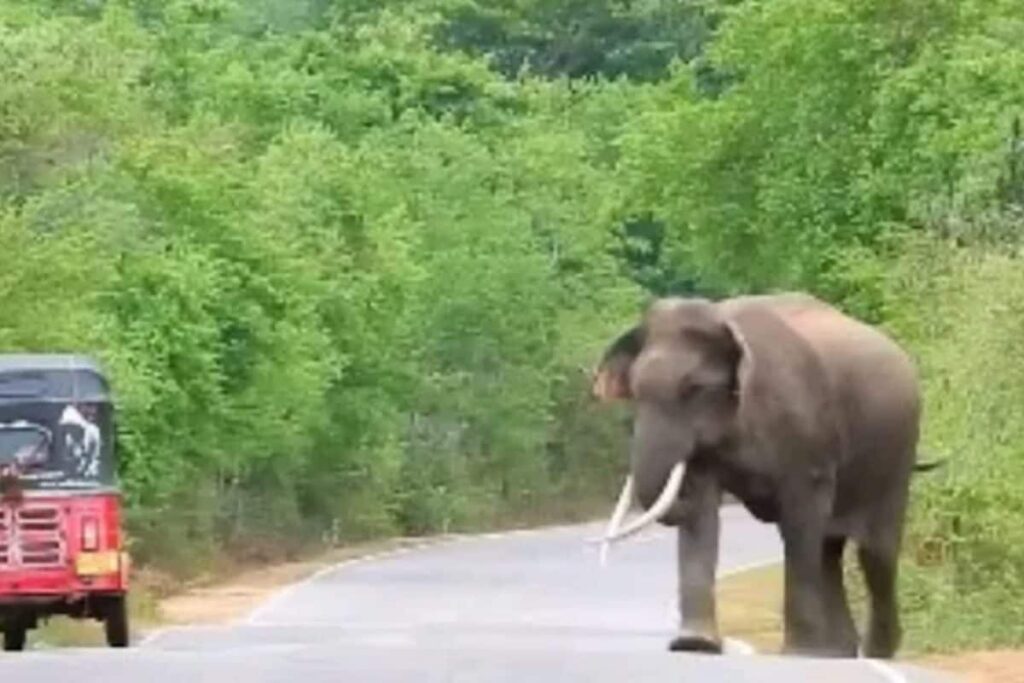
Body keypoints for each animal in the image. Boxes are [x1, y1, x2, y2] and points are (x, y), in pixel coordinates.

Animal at [591, 292, 931, 659]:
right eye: (635, 391)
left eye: (694, 389)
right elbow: (701, 512)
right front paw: (694, 645)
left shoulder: (805, 439)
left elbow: (800, 520)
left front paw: (798, 653)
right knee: (829, 549)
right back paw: (837, 651)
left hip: (896, 453)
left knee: (874, 553)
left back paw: (874, 652)